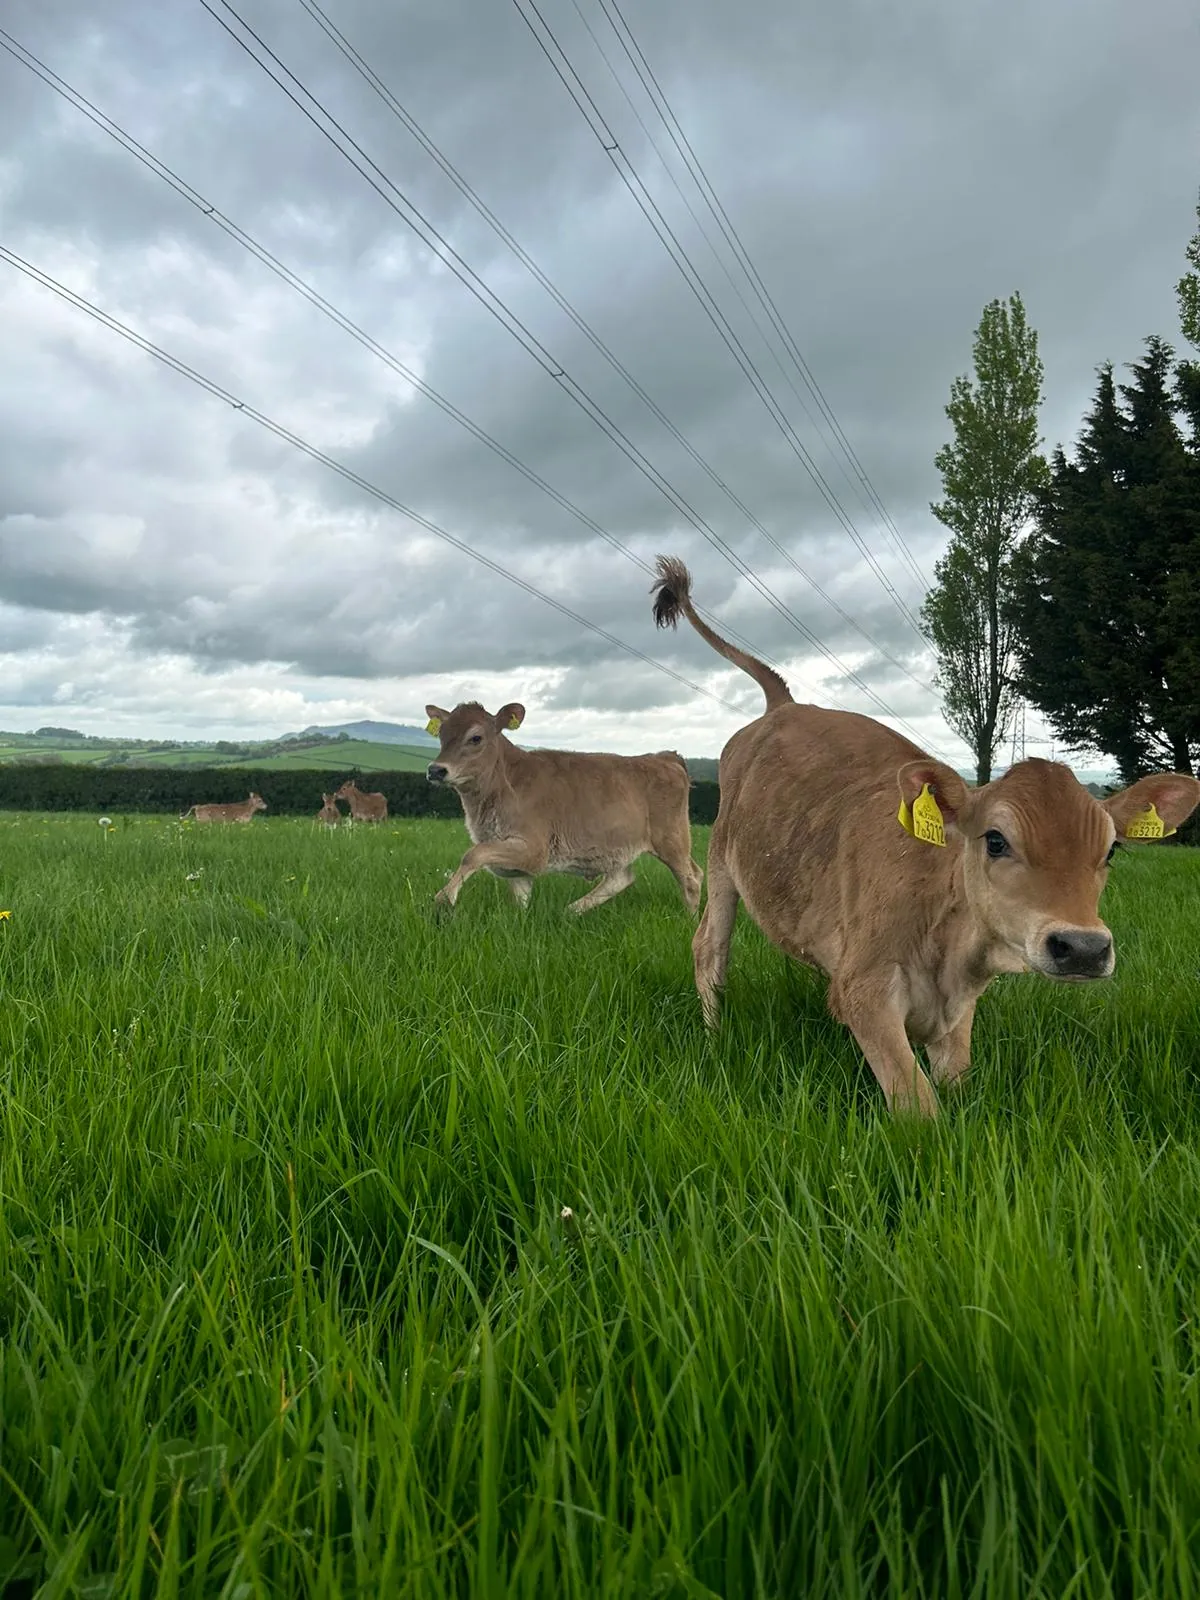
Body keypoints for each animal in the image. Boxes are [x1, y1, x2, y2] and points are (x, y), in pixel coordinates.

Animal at [423, 699, 703, 916]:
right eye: (441, 735)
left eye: (476, 737)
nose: (436, 770)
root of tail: (665, 757)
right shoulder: (517, 863)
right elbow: (519, 897)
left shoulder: (534, 849)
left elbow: (474, 854)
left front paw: (444, 898)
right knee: (622, 878)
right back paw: (570, 912)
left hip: (672, 839)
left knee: (691, 879)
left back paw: (690, 922)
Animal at [650, 555, 1200, 1118]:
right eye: (995, 840)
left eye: (1111, 849)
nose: (1084, 947)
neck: (953, 942)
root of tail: (785, 707)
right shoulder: (866, 989)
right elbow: (920, 1110)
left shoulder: (956, 1016)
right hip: (722, 864)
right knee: (709, 950)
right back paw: (714, 1036)